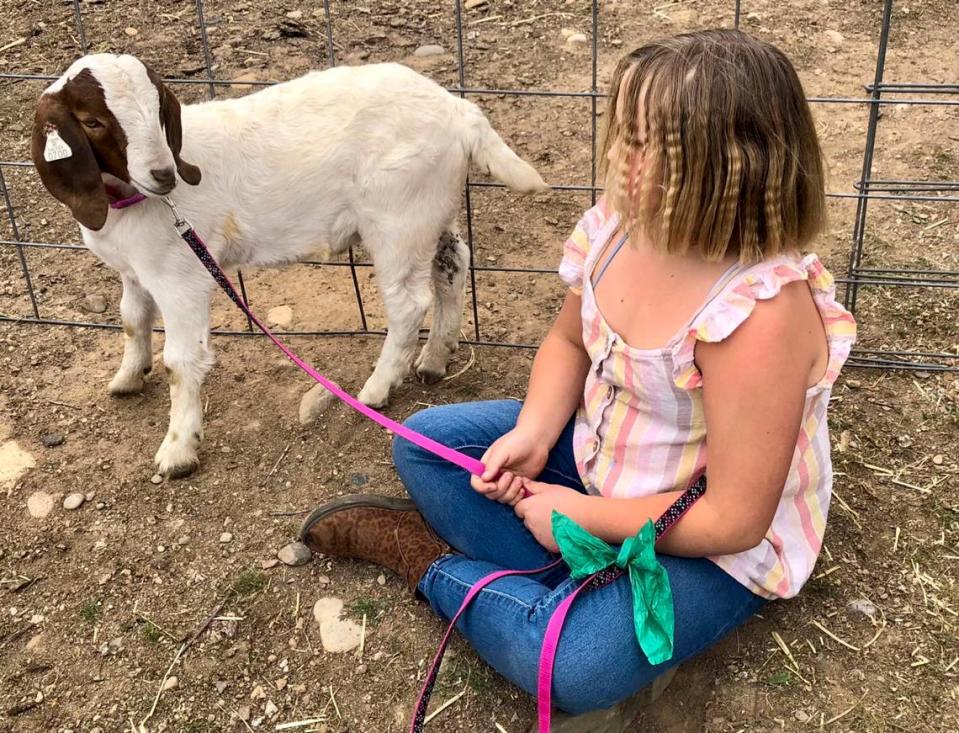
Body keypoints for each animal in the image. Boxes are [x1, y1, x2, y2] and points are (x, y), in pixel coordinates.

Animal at [31, 55, 548, 480]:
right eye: (93, 121)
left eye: (157, 109)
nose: (164, 175)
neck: (130, 203)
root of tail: (459, 112)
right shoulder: (136, 271)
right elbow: (131, 320)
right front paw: (127, 377)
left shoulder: (181, 278)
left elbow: (180, 361)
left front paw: (178, 450)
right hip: (431, 213)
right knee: (452, 264)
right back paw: (435, 359)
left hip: (399, 219)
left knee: (408, 304)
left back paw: (377, 389)